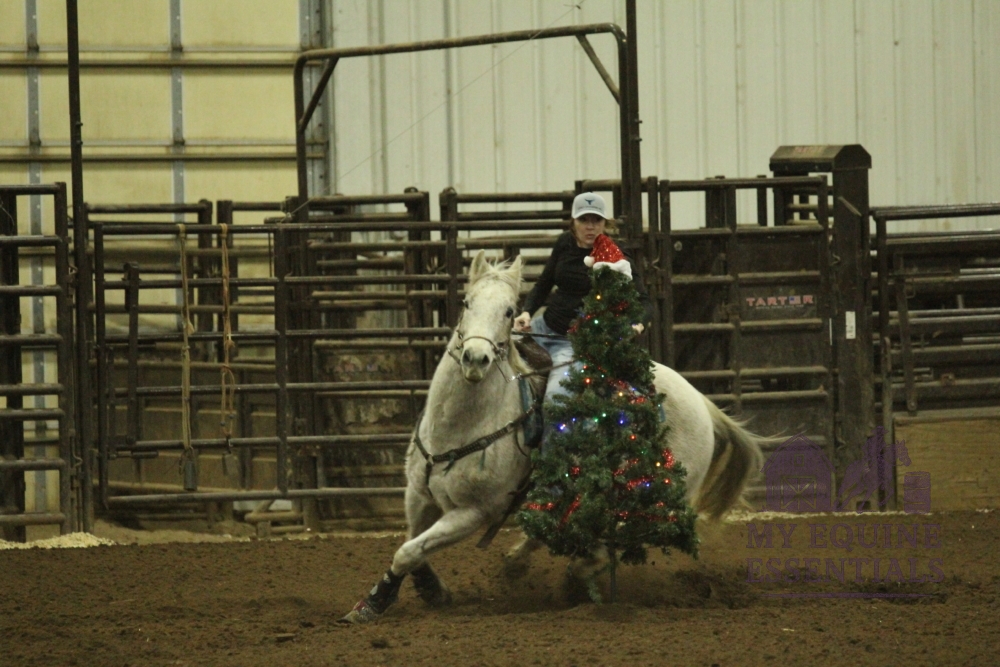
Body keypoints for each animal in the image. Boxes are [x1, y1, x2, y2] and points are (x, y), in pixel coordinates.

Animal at [339, 250, 765, 624]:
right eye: (466, 302)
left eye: (508, 311)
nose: (475, 359)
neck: (460, 426)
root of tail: (701, 402)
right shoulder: (418, 494)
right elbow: (412, 543)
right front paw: (429, 590)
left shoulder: (475, 511)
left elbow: (408, 552)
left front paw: (373, 605)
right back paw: (518, 563)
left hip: (654, 494)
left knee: (618, 541)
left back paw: (575, 575)